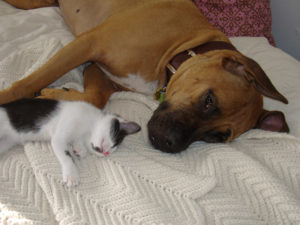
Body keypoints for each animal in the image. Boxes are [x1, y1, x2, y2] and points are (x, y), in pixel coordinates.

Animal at [0, 99, 141, 186]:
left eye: (112, 150)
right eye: (113, 144)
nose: (106, 153)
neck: (87, 127)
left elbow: (78, 144)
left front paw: (80, 150)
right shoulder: (59, 136)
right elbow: (66, 155)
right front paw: (71, 175)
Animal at [1, 0, 290, 153]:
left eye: (215, 137)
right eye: (209, 100)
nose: (167, 144)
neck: (181, 47)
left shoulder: (100, 69)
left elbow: (94, 98)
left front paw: (56, 94)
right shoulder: (90, 44)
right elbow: (28, 83)